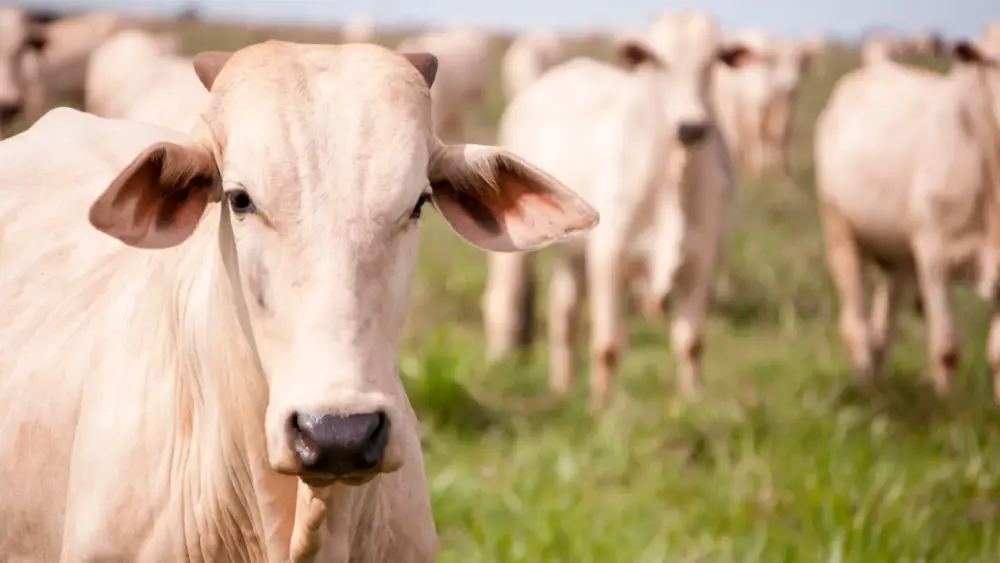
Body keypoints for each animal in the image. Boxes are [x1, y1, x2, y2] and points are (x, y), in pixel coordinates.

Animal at [483, 11, 747, 411]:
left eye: (712, 61)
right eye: (657, 60)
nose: (691, 127)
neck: (672, 178)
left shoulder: (701, 260)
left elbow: (690, 343)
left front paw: (692, 402)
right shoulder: (610, 256)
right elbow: (608, 346)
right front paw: (600, 408)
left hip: (573, 254)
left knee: (563, 312)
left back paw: (562, 384)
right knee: (506, 299)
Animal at [814, 40, 1000, 399]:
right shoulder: (934, 258)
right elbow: (946, 348)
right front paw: (947, 404)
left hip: (896, 259)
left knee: (882, 327)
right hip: (839, 231)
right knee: (855, 321)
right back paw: (865, 380)